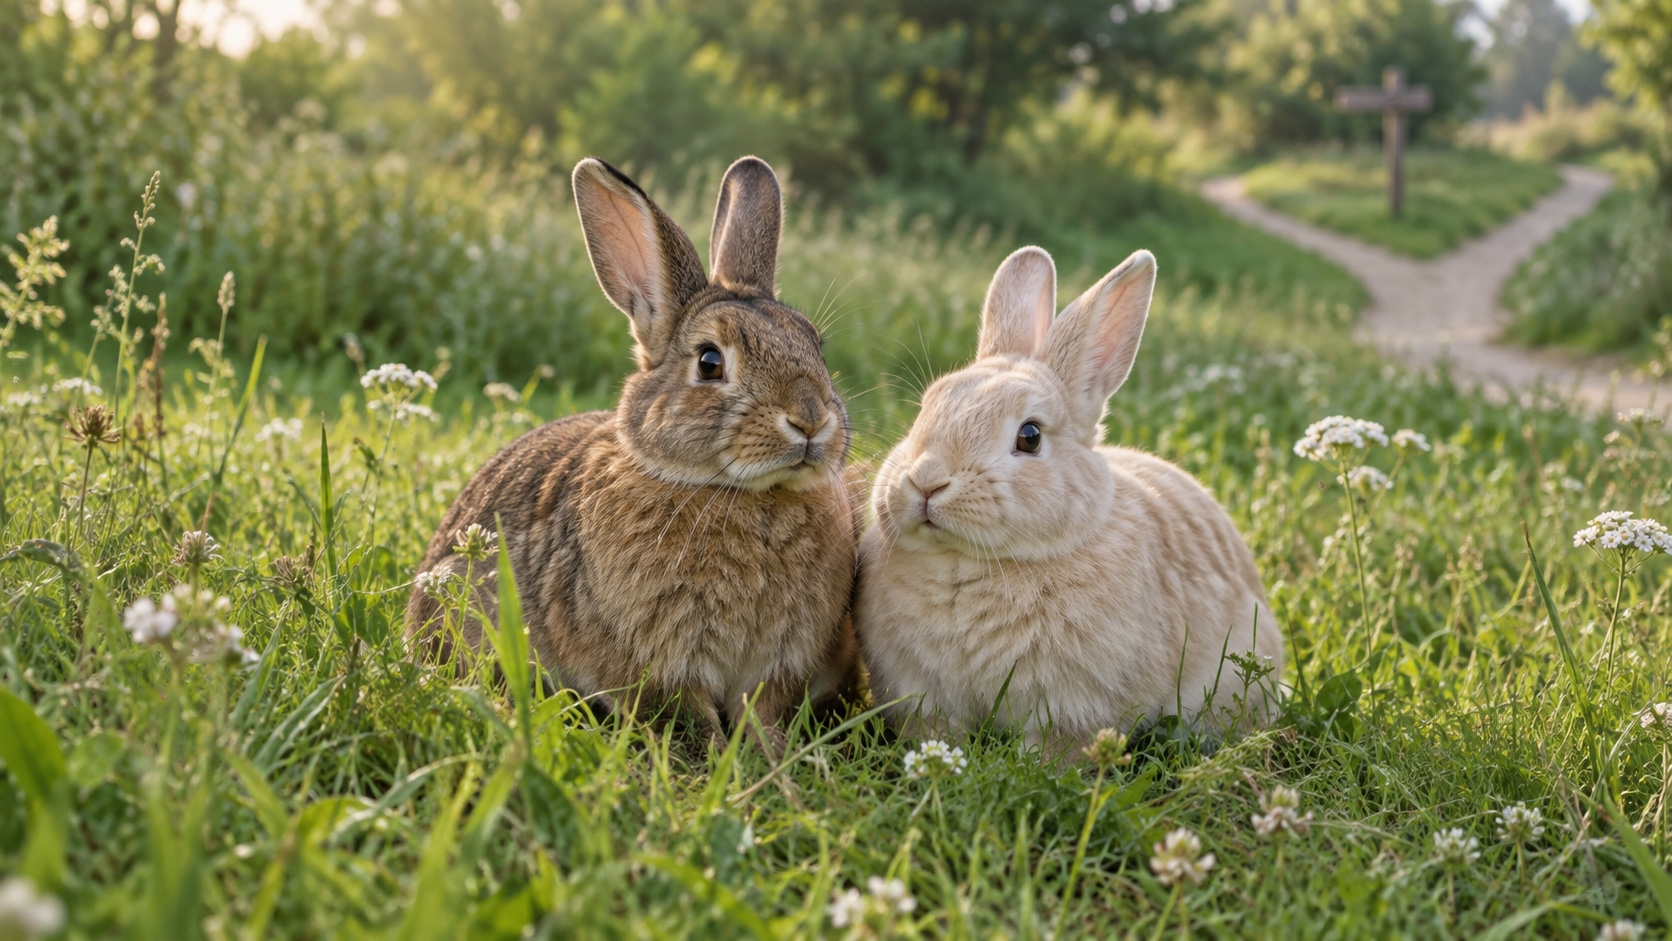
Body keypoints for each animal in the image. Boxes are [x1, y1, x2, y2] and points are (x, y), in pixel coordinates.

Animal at [407, 156, 861, 744]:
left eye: (814, 344)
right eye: (709, 362)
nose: (810, 420)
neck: (738, 492)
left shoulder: (773, 671)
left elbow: (763, 721)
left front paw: (780, 759)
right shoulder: (659, 668)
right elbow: (688, 724)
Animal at [854, 245, 1283, 749]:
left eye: (1030, 436)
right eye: (926, 408)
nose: (925, 481)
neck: (965, 564)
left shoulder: (1068, 707)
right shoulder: (922, 694)